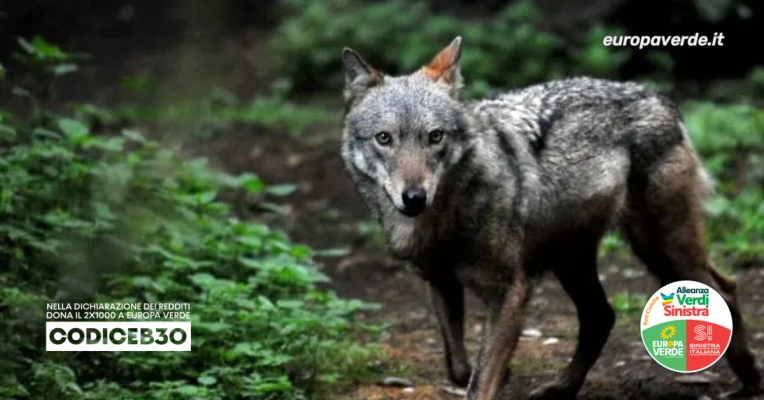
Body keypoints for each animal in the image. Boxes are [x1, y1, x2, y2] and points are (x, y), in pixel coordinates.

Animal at [339, 36, 762, 400]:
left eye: (435, 136)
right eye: (384, 138)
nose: (414, 198)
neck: (443, 220)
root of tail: (656, 96)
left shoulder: (510, 292)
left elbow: (479, 382)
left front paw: (496, 375)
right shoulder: (439, 283)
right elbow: (459, 369)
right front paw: (502, 373)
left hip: (659, 248)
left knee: (724, 288)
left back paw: (749, 378)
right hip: (577, 259)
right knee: (601, 316)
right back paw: (562, 387)